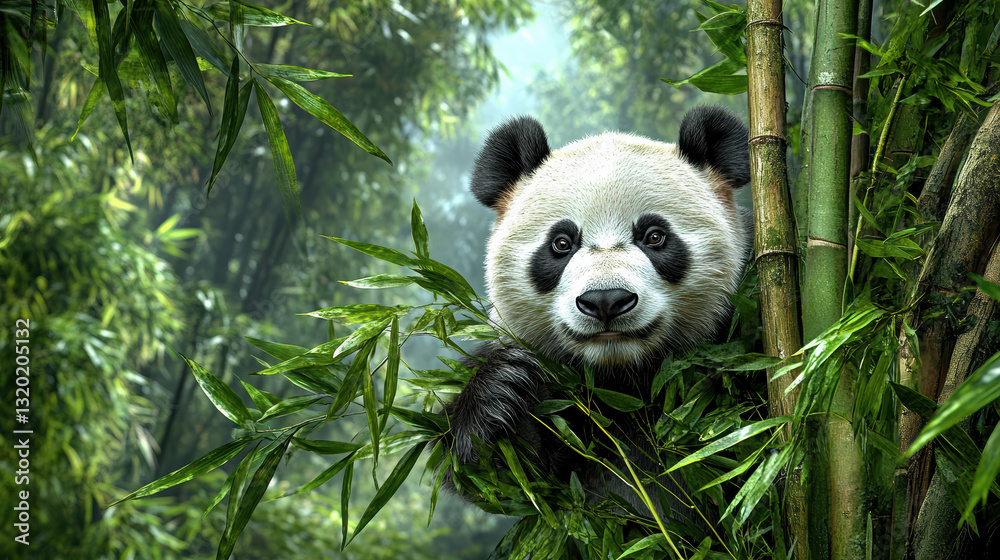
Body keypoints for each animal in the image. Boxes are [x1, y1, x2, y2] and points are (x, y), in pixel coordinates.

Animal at [442, 105, 752, 522]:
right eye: (561, 243)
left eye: (655, 236)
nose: (606, 301)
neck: (623, 377)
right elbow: (503, 480)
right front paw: (503, 391)